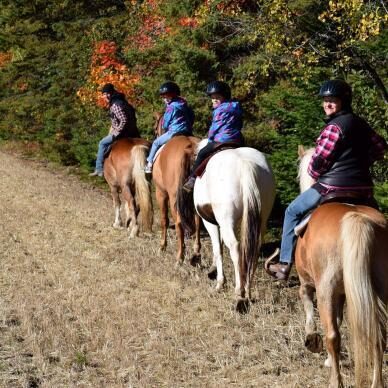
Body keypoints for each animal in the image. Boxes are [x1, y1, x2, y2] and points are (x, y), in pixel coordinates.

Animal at [150, 112, 202, 264]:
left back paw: (180, 256)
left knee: (179, 222)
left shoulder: (161, 193)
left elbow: (164, 220)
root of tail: (191, 147)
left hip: (174, 197)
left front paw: (162, 246)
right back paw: (196, 250)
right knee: (198, 220)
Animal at [179, 140, 276, 312]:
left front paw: (219, 282)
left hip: (225, 220)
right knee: (253, 249)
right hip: (260, 220)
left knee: (235, 248)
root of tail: (245, 165)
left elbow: (218, 248)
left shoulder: (211, 222)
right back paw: (248, 290)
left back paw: (239, 293)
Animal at [296, 146, 386, 388]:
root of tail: (358, 219)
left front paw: (312, 340)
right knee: (378, 336)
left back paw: (335, 381)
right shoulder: (344, 293)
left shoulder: (308, 284)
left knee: (333, 336)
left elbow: (310, 309)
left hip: (325, 290)